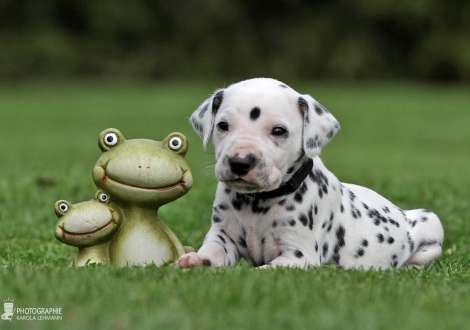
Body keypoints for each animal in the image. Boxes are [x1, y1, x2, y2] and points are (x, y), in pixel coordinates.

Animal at [176, 78, 444, 270]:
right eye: (223, 125)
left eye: (279, 130)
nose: (239, 162)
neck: (257, 202)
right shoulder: (224, 237)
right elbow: (212, 252)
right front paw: (194, 260)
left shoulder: (297, 257)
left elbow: (262, 271)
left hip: (431, 222)